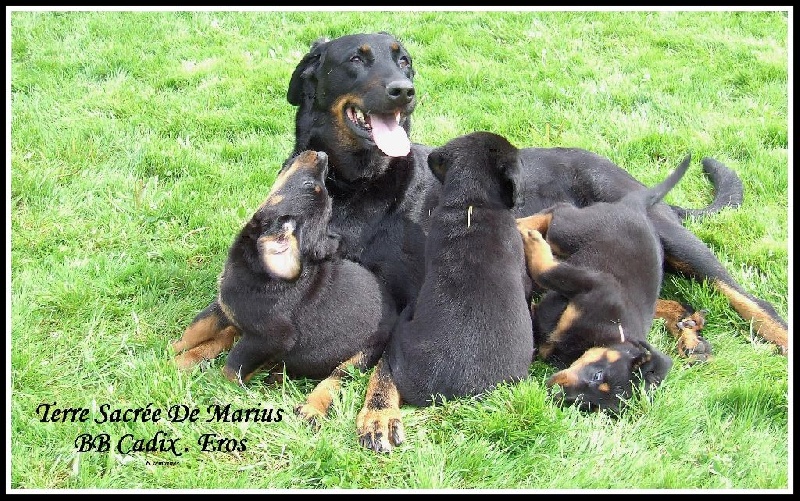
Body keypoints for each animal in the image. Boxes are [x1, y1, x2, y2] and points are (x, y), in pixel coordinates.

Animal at [176, 149, 400, 426]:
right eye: (311, 186)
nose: (322, 155)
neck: (260, 266)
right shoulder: (223, 305)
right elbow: (197, 328)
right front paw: (171, 353)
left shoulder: (270, 338)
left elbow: (232, 367)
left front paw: (213, 385)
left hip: (360, 356)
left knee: (334, 379)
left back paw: (309, 407)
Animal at [516, 154, 692, 412]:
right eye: (598, 375)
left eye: (591, 406)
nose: (555, 393)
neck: (609, 334)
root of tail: (635, 207)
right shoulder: (594, 284)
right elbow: (545, 270)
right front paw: (533, 243)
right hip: (571, 232)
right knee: (558, 211)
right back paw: (522, 226)